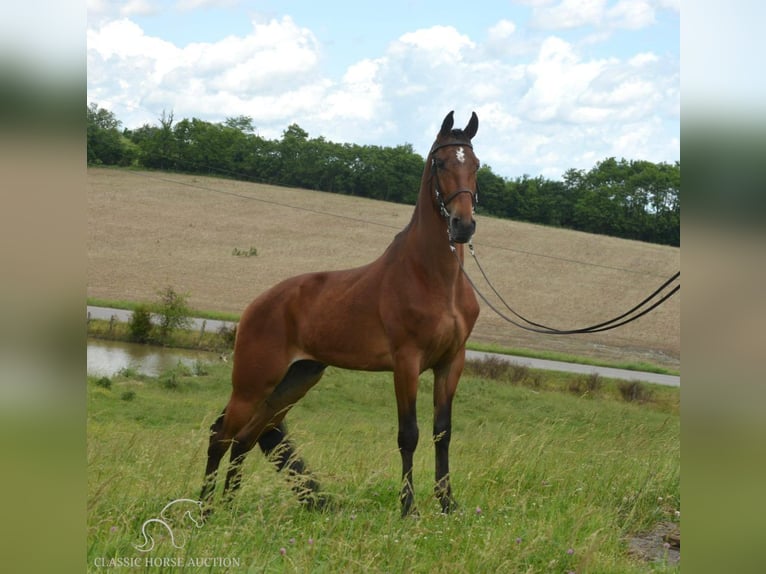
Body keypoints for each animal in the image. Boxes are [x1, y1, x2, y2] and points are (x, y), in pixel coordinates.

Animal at [201, 111, 484, 516]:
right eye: (441, 162)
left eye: (475, 165)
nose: (463, 225)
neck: (433, 278)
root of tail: (258, 303)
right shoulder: (406, 362)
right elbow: (409, 434)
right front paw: (408, 508)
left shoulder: (451, 362)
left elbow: (441, 433)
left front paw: (447, 504)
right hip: (253, 383)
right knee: (221, 435)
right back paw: (205, 510)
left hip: (294, 381)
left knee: (247, 437)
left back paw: (227, 506)